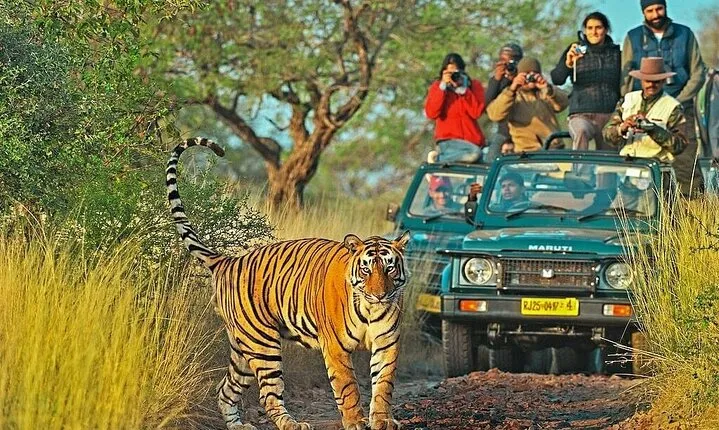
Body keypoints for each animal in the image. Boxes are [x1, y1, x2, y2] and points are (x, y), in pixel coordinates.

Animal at [166, 137, 410, 430]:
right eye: (366, 270)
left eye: (389, 268)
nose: (380, 295)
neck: (370, 309)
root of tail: (228, 261)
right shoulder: (336, 348)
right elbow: (348, 387)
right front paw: (355, 422)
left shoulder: (387, 343)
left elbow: (383, 385)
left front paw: (383, 420)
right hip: (263, 344)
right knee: (268, 395)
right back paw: (292, 424)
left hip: (242, 348)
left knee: (225, 389)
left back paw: (239, 425)